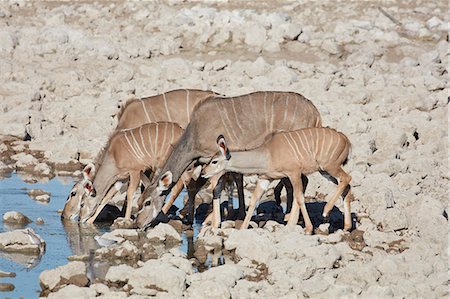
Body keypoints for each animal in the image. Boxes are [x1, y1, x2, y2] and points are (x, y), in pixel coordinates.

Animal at [138, 91, 324, 230]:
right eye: (139, 202)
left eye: (147, 202)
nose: (138, 223)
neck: (196, 133)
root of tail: (315, 112)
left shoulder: (215, 159)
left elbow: (216, 187)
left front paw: (213, 222)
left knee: (301, 181)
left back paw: (292, 219)